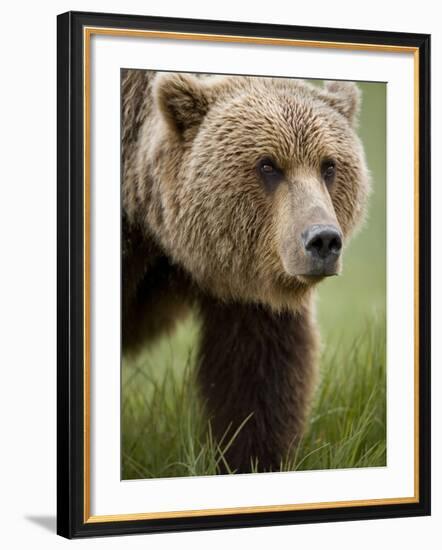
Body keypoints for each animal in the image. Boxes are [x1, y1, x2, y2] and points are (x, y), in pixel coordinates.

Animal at [121, 69, 370, 474]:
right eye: (268, 165)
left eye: (329, 165)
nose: (323, 241)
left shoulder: (252, 279)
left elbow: (257, 370)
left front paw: (251, 459)